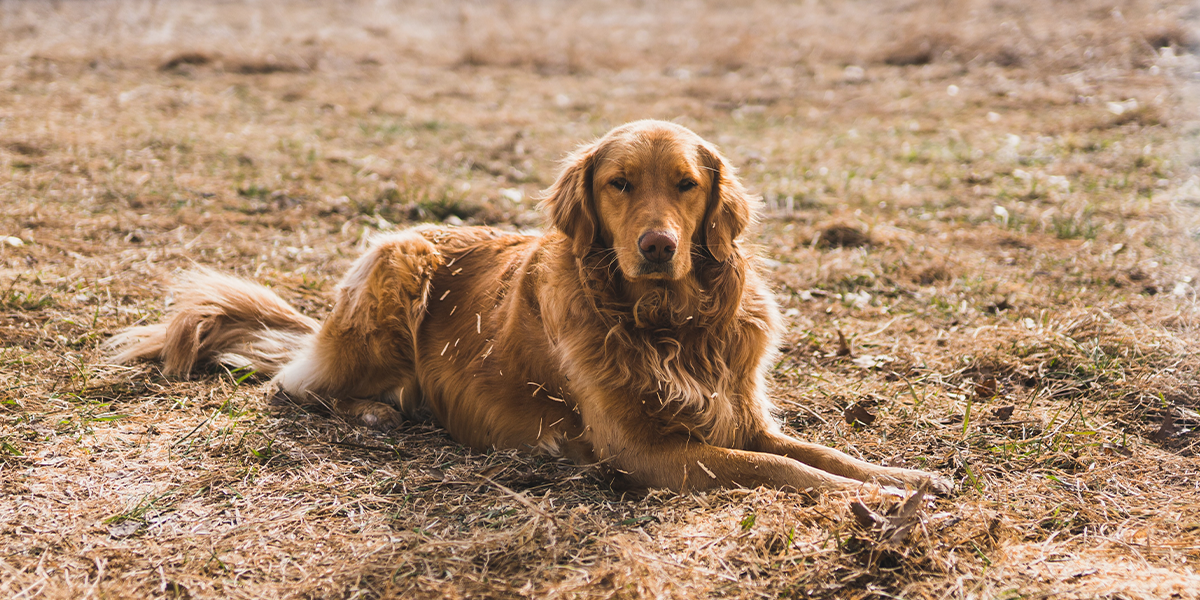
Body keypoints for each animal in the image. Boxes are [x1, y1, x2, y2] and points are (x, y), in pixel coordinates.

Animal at [112, 119, 950, 494]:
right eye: (619, 183)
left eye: (686, 184)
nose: (656, 247)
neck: (668, 323)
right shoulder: (646, 452)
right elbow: (780, 471)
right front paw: (872, 500)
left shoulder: (739, 413)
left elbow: (819, 454)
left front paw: (908, 478)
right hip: (394, 265)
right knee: (295, 388)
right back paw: (374, 412)